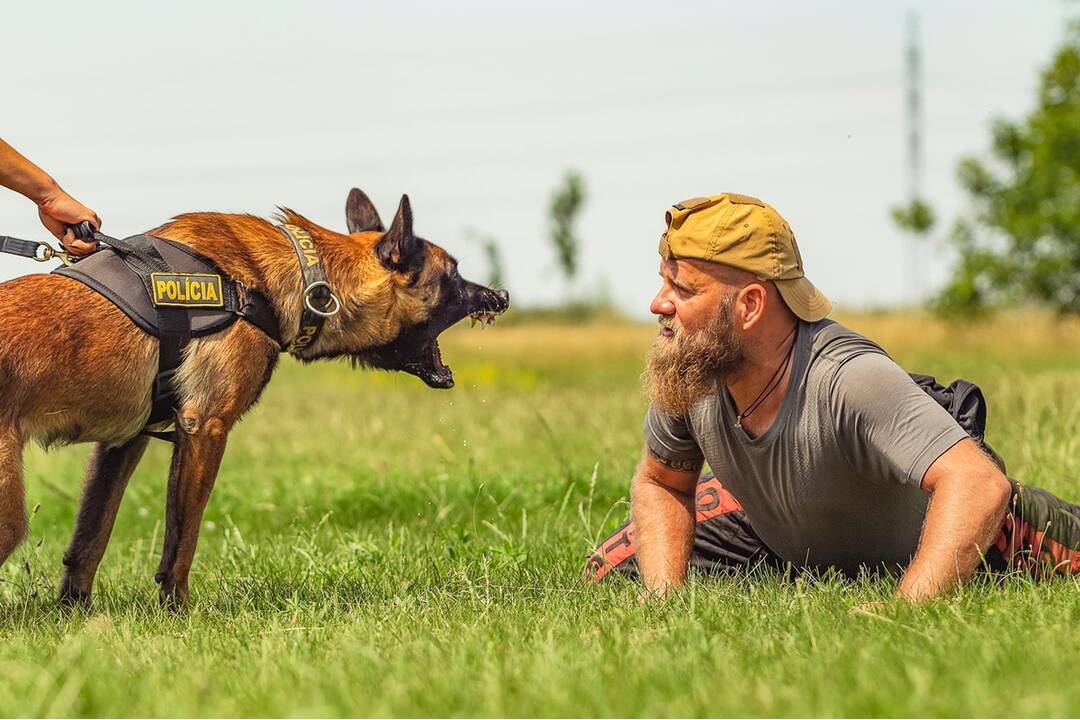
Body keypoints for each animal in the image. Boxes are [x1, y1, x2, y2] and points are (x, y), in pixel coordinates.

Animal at [0, 188, 509, 604]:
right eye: (453, 276)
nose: (501, 296)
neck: (308, 277)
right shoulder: (206, 427)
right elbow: (182, 540)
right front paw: (178, 610)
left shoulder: (125, 441)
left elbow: (91, 537)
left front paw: (74, 615)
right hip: (10, 511)